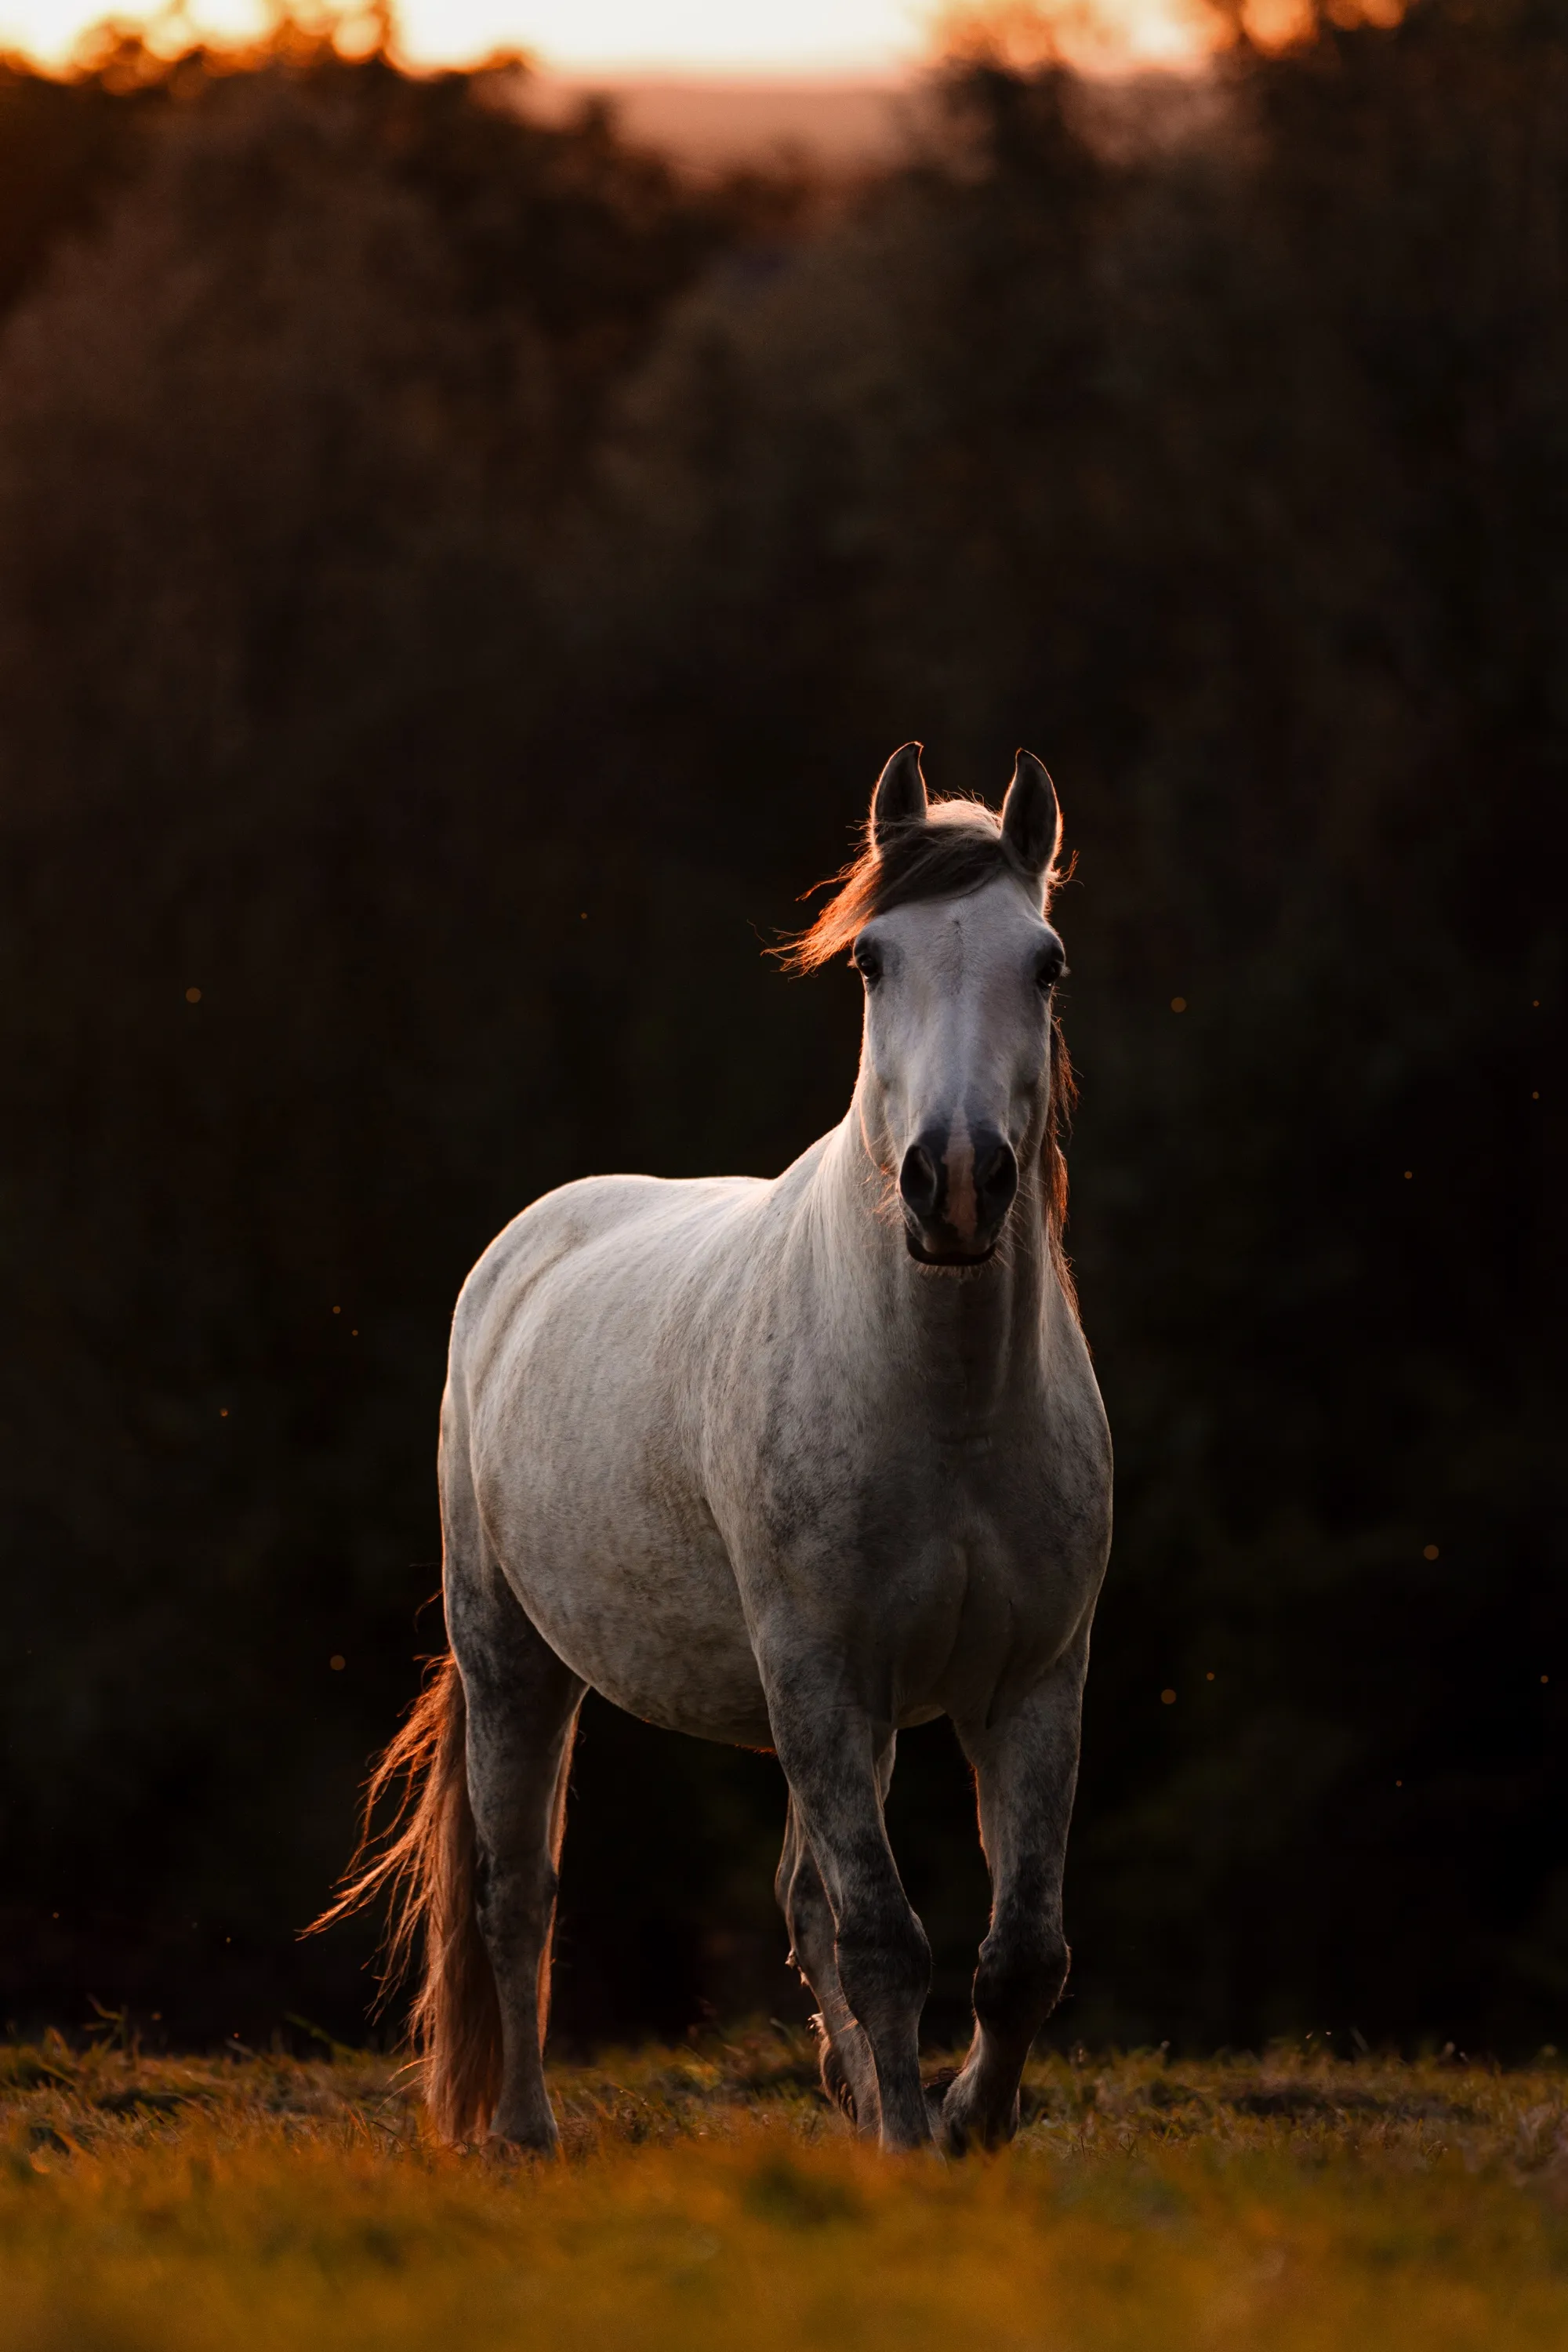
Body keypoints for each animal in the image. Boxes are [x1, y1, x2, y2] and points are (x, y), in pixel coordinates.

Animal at [314, 743, 1113, 2156]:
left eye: (1047, 963)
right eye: (873, 963)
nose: (957, 1181)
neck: (951, 1406)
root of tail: (525, 1245)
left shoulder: (1030, 1683)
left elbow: (1021, 1954)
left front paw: (963, 2123)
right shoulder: (820, 1676)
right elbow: (883, 1939)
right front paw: (915, 2148)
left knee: (797, 1899)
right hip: (515, 1657)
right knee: (518, 1893)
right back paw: (526, 2132)